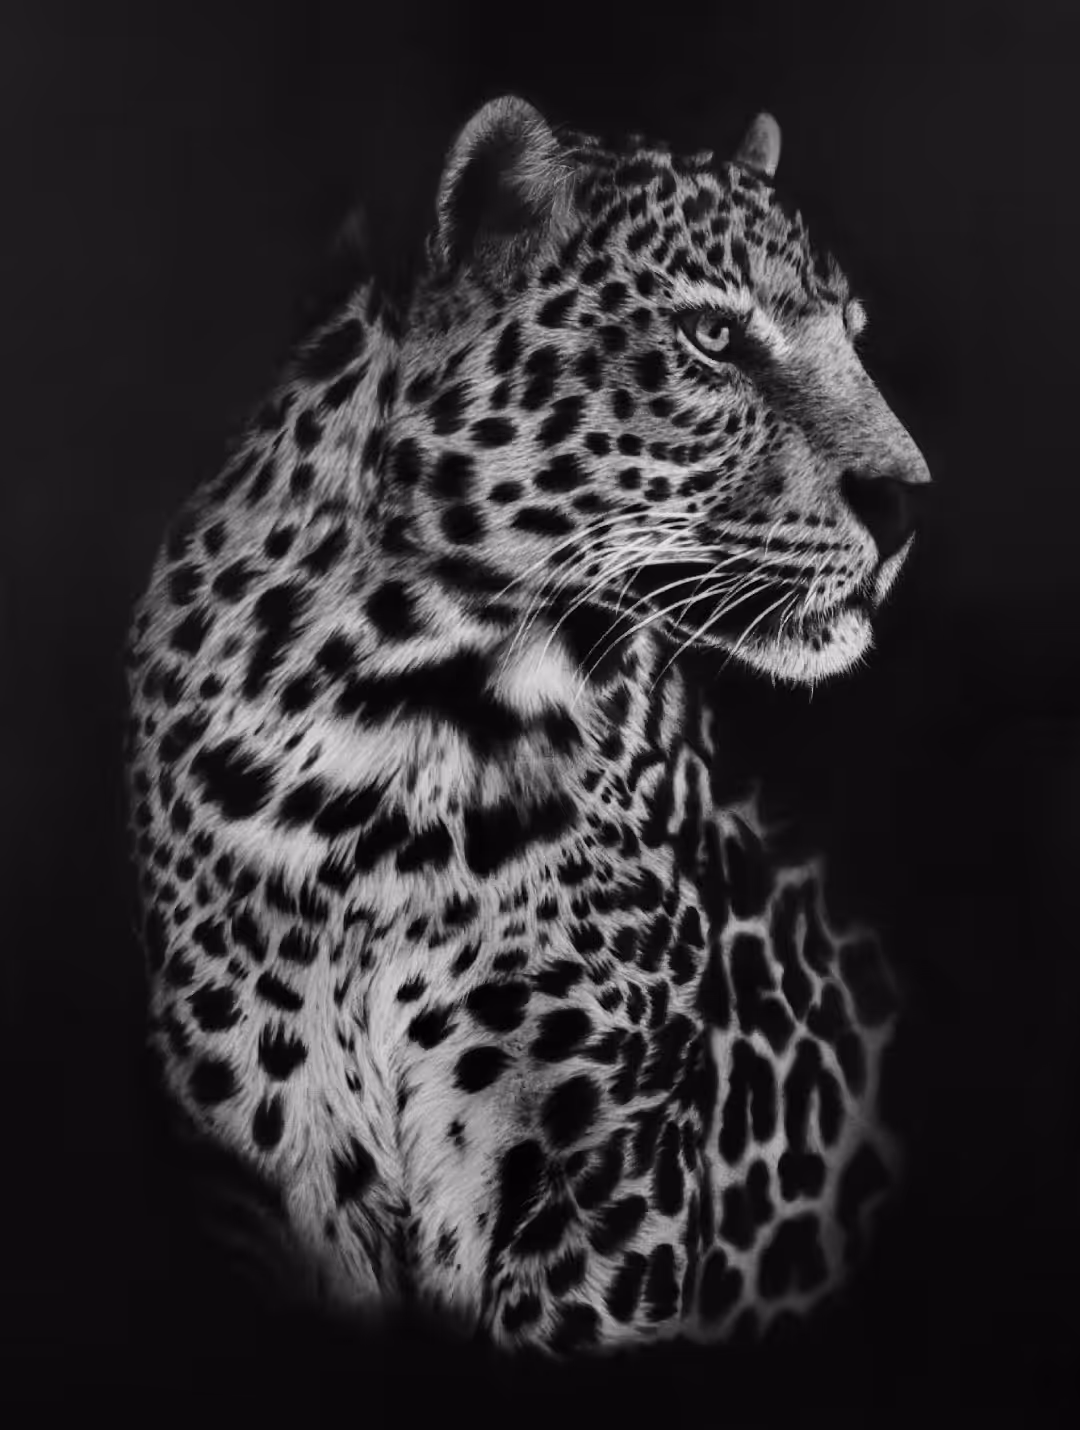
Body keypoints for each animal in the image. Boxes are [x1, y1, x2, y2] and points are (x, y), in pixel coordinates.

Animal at [124, 96, 931, 1356]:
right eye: (712, 336)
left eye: (850, 334)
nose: (907, 500)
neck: (408, 717)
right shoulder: (261, 1140)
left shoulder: (606, 1157)